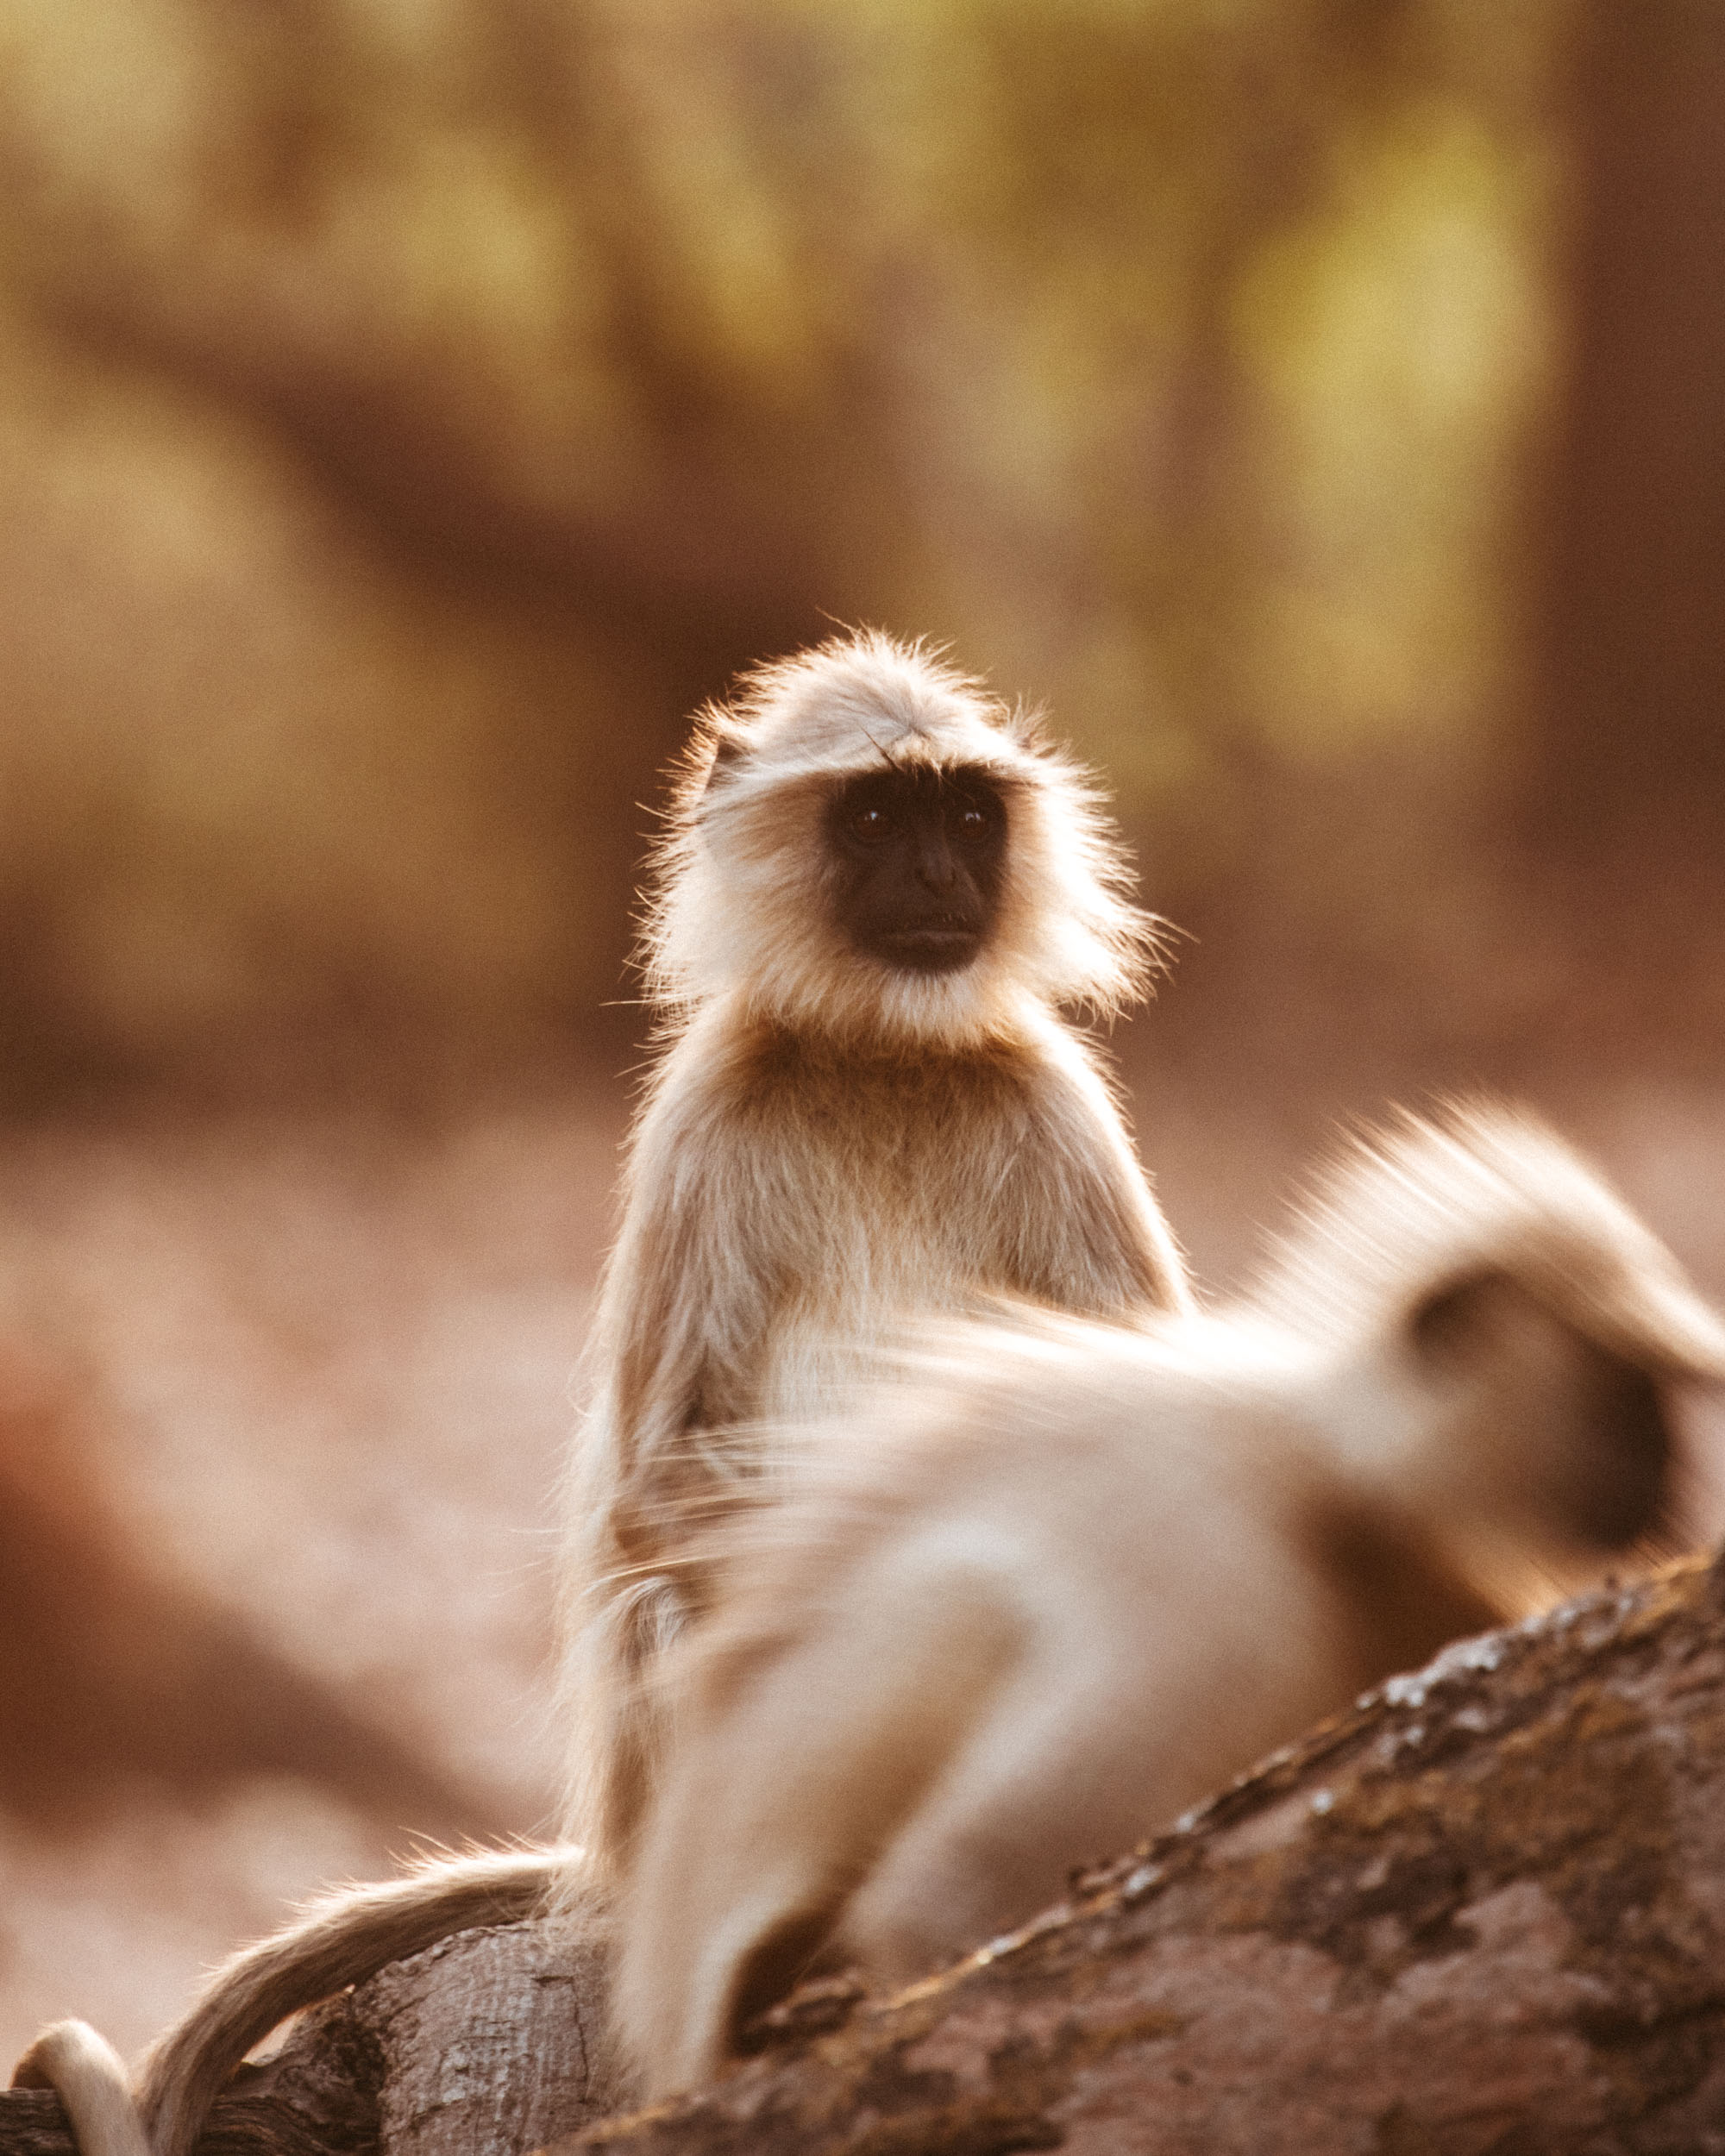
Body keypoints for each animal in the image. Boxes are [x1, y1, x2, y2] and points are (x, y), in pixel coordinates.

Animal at [14, 628, 1188, 2156]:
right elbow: (653, 1488)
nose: (941, 877)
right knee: (684, 1608)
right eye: (880, 816)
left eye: (967, 816)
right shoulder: (705, 1115)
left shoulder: (1056, 1106)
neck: (881, 1053)